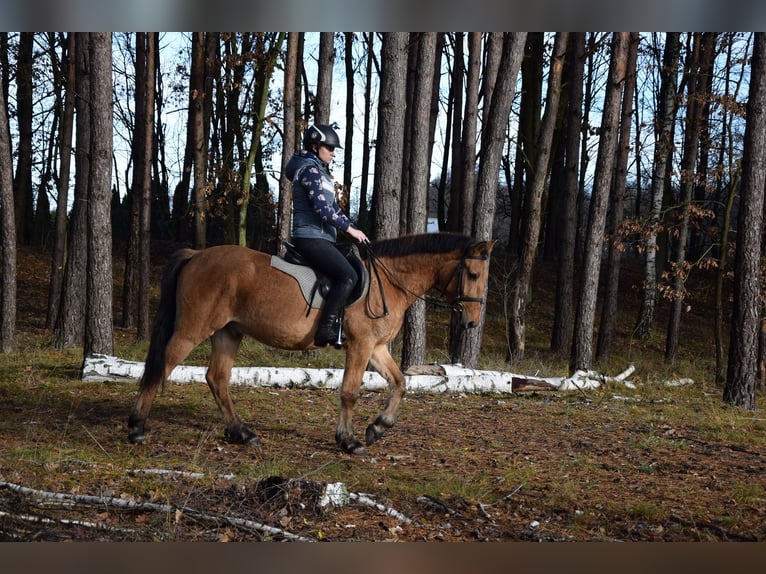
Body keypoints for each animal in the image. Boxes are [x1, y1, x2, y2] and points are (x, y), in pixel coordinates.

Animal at [127, 232, 496, 455]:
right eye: (473, 275)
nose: (472, 322)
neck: (389, 282)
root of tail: (196, 255)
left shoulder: (376, 348)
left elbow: (400, 382)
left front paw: (378, 428)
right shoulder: (361, 346)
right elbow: (349, 392)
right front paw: (348, 440)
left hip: (228, 332)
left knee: (217, 378)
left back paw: (241, 432)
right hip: (193, 329)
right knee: (162, 366)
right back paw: (136, 427)